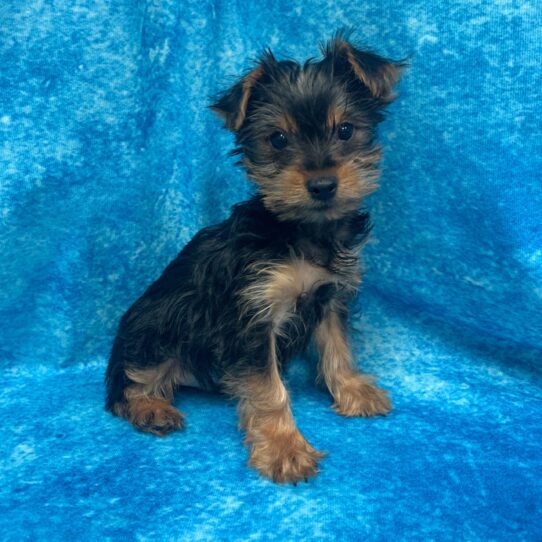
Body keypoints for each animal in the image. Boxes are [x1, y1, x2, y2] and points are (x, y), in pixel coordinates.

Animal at [106, 33, 404, 484]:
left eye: (345, 130)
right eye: (277, 139)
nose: (322, 185)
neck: (300, 230)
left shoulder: (329, 295)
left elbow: (337, 346)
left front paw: (352, 390)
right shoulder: (253, 316)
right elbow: (269, 389)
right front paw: (285, 449)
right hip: (157, 327)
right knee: (129, 382)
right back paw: (150, 408)